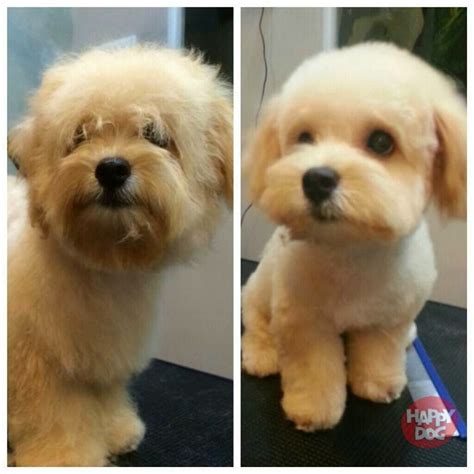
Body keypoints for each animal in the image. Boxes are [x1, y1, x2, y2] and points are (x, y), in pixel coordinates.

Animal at [8, 45, 233, 466]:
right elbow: (55, 415)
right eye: (81, 135)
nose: (111, 168)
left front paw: (115, 429)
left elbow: (105, 394)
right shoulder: (41, 364)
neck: (102, 263)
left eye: (154, 134)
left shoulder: (104, 350)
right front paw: (66, 458)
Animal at [243, 42, 464, 432]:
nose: (316, 179)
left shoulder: (388, 319)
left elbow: (380, 352)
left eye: (381, 141)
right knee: (256, 322)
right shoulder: (305, 322)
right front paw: (313, 409)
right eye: (304, 137)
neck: (352, 251)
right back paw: (261, 353)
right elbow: (314, 368)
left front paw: (378, 383)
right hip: (259, 290)